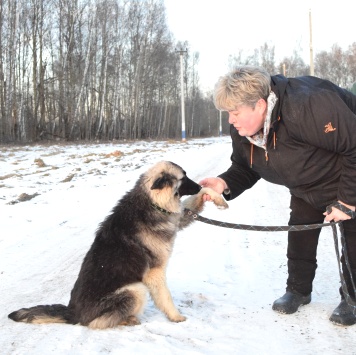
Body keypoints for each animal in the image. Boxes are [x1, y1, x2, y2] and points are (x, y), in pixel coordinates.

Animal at [8, 163, 228, 330]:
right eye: (183, 178)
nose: (198, 186)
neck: (152, 201)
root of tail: (73, 313)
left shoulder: (177, 217)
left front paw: (217, 198)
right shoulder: (155, 273)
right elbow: (165, 297)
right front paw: (176, 317)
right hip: (135, 289)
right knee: (95, 324)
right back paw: (128, 320)